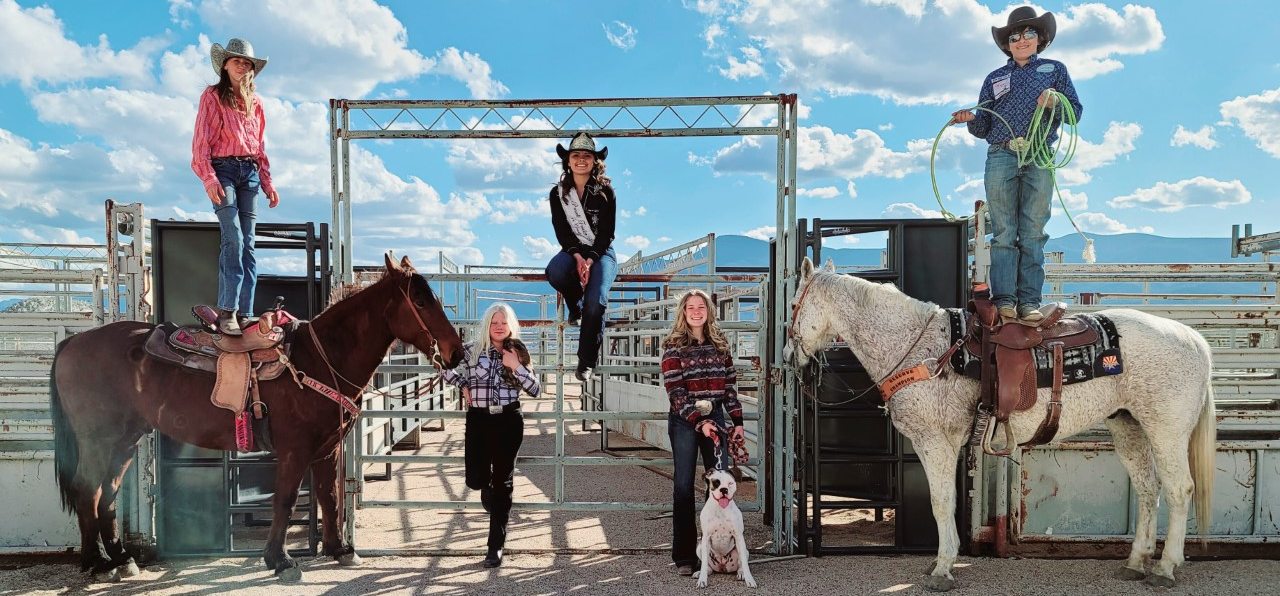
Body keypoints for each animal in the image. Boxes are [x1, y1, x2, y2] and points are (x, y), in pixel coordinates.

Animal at [51, 254, 460, 583]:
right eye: (420, 300)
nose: (456, 352)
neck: (319, 360)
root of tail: (73, 342)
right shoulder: (295, 449)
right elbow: (286, 499)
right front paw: (280, 560)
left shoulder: (327, 448)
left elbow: (328, 494)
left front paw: (339, 550)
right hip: (98, 438)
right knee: (88, 489)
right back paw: (97, 563)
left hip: (126, 438)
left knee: (108, 491)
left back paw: (122, 559)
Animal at [783, 258, 1213, 588]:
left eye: (792, 305)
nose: (788, 355)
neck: (922, 350)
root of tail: (1193, 338)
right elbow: (947, 501)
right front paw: (943, 561)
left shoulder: (934, 442)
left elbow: (941, 502)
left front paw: (942, 568)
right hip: (1128, 427)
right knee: (1148, 490)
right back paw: (1135, 563)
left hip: (1166, 430)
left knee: (1179, 490)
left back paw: (1165, 569)